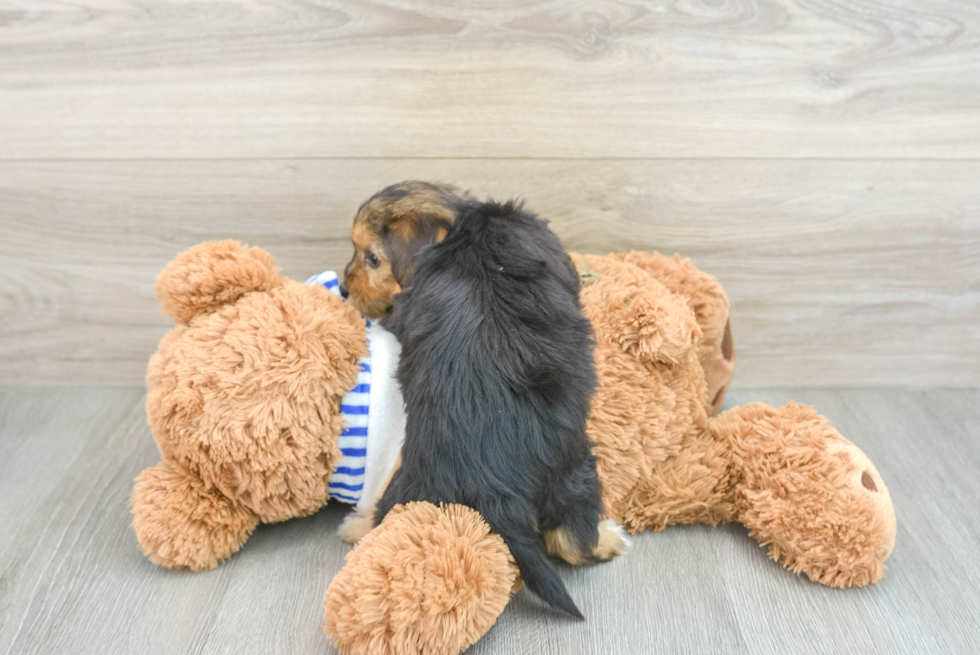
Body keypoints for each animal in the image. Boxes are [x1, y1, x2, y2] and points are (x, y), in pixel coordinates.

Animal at [378, 200, 624, 620]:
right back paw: (609, 540)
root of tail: (487, 481)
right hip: (574, 469)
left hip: (409, 488)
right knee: (570, 541)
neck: (477, 243)